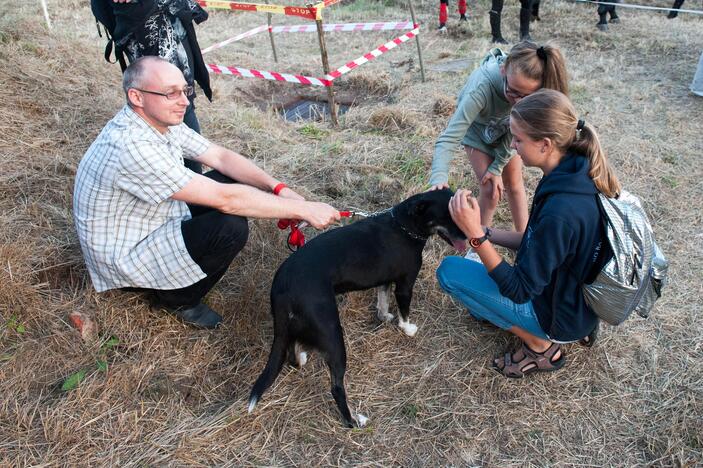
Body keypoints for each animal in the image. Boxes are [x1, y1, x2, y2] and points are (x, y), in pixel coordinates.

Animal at [248, 189, 468, 428]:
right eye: (448, 216)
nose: (469, 238)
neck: (404, 226)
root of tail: (283, 284)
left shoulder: (385, 279)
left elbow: (382, 300)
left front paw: (384, 315)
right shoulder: (405, 284)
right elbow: (405, 312)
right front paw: (408, 329)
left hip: (291, 325)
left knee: (291, 356)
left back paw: (302, 358)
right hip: (332, 333)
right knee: (336, 387)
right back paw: (353, 420)